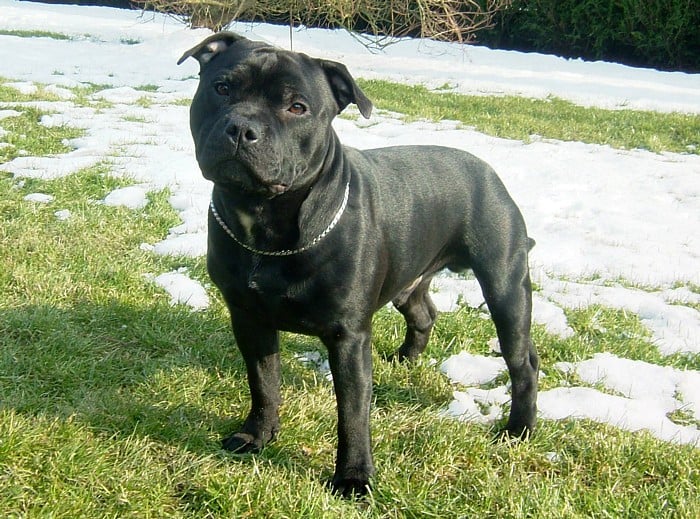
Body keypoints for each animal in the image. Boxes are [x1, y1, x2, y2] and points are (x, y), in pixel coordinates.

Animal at [178, 32, 539, 496]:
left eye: (297, 107)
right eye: (222, 87)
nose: (242, 128)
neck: (264, 222)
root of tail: (490, 172)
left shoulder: (347, 337)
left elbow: (352, 413)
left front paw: (352, 478)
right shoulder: (249, 319)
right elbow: (264, 385)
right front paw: (256, 435)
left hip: (505, 286)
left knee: (522, 362)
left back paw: (519, 429)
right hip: (412, 281)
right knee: (423, 314)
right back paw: (404, 360)